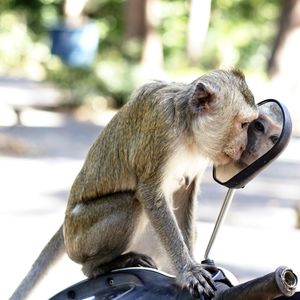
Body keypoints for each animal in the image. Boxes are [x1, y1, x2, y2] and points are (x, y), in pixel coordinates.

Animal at [9, 69, 258, 298]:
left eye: (251, 125)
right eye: (244, 124)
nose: (244, 146)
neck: (188, 130)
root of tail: (65, 226)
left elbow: (185, 194)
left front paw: (193, 265)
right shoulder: (162, 130)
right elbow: (149, 193)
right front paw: (189, 271)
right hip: (81, 237)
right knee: (131, 204)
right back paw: (100, 266)